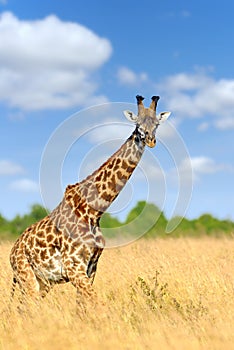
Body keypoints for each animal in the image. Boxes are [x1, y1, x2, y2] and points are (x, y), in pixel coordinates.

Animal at [9, 95, 170, 300]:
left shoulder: (91, 267)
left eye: (157, 123)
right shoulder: (73, 267)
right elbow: (95, 301)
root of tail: (12, 253)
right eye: (138, 124)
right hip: (27, 278)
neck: (93, 212)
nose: (150, 140)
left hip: (41, 283)